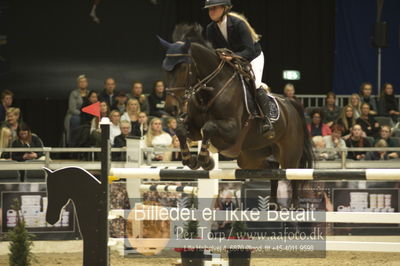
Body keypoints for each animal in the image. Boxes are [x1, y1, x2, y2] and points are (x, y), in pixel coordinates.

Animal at [159, 23, 312, 204]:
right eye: (165, 68)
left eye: (183, 68)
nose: (171, 108)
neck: (210, 91)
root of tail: (291, 104)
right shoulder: (194, 128)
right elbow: (181, 130)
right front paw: (190, 160)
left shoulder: (232, 130)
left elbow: (209, 127)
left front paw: (205, 160)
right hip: (251, 157)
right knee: (272, 170)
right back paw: (274, 204)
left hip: (289, 154)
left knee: (293, 176)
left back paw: (294, 205)